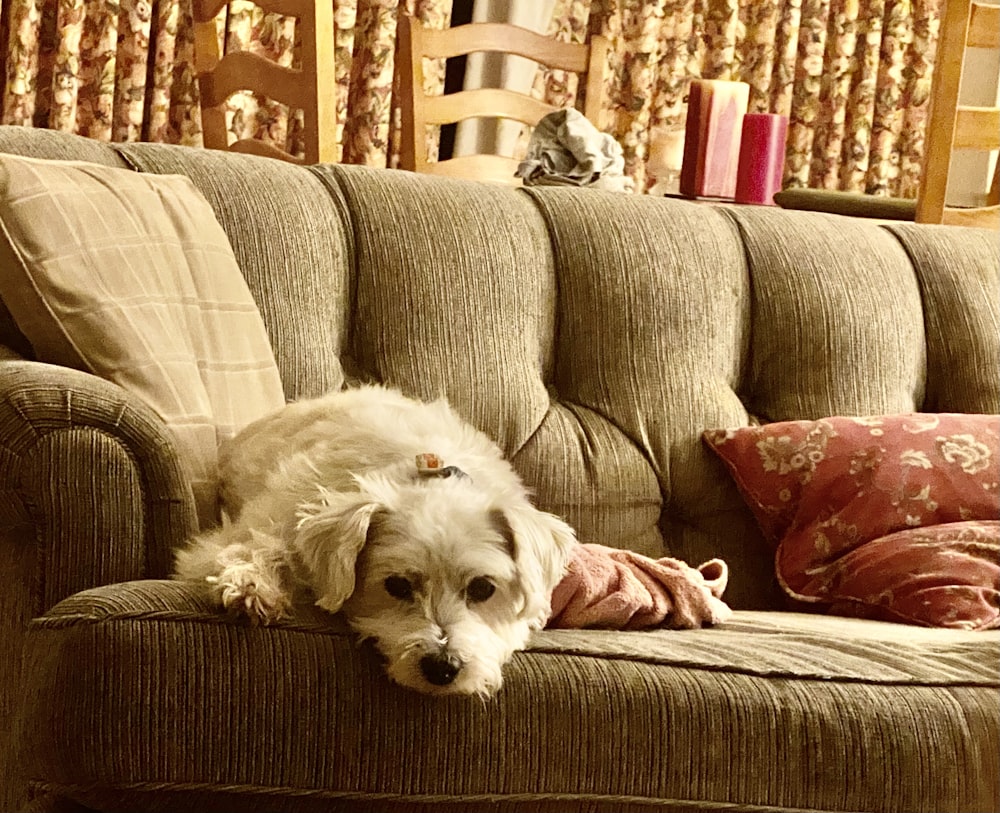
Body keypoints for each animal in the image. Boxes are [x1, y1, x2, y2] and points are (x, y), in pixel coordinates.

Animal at [176, 384, 576, 696]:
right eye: (396, 585)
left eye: (482, 588)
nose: (442, 667)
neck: (426, 477)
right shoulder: (256, 526)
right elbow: (253, 546)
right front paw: (251, 585)